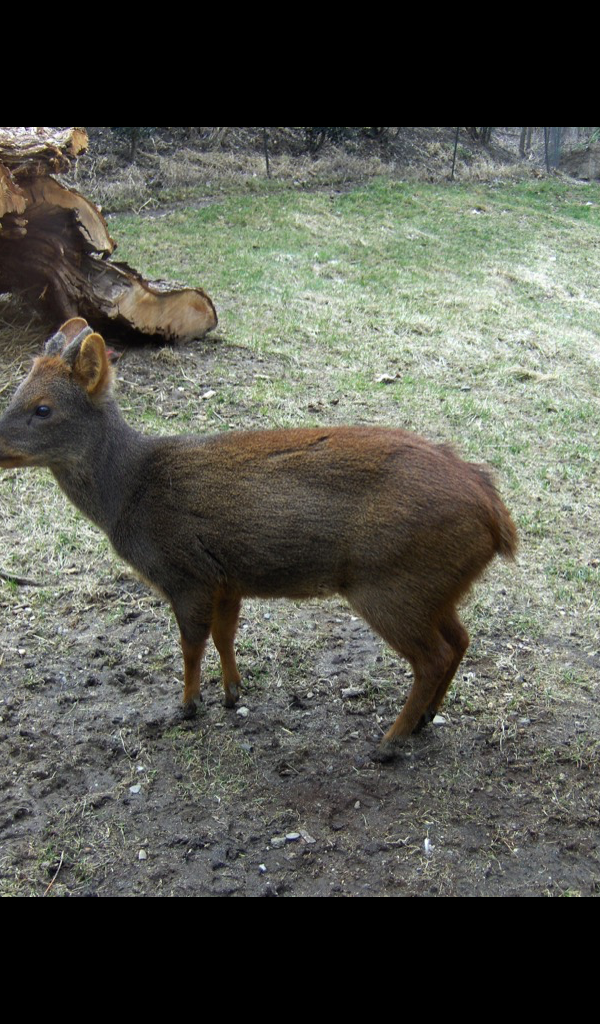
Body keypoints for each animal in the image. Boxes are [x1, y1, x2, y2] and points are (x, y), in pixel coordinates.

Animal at [0, 319, 517, 759]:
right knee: (460, 639)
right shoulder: (227, 578)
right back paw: (426, 718)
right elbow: (225, 635)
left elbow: (191, 643)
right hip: (433, 587)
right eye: (17, 392)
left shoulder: (186, 573)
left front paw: (187, 706)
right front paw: (232, 694)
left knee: (433, 657)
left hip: (389, 584)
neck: (130, 494)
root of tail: (497, 517)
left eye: (43, 408)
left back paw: (390, 740)